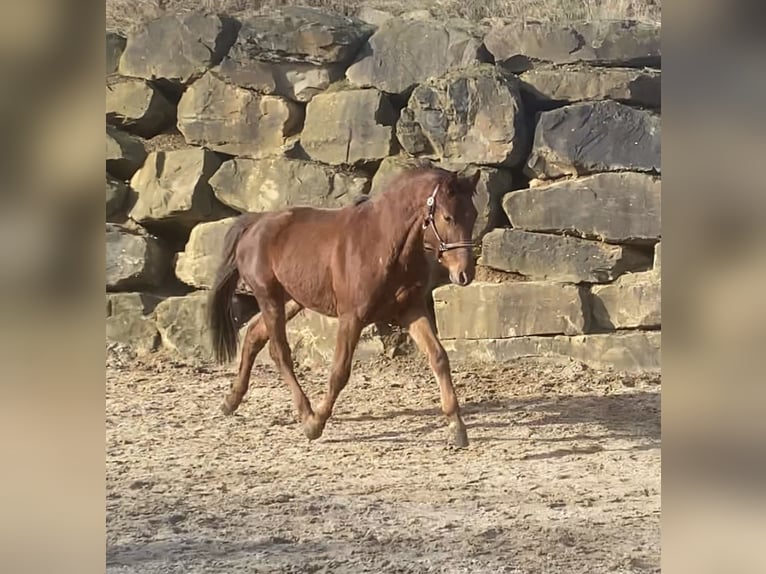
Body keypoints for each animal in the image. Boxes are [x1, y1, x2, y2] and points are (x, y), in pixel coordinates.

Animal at [207, 168, 476, 450]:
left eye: (473, 215)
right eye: (448, 217)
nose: (464, 274)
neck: (383, 244)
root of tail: (256, 222)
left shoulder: (411, 310)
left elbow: (439, 357)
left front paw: (457, 428)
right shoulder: (352, 318)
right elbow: (339, 373)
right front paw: (316, 424)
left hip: (292, 300)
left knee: (253, 334)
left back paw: (231, 401)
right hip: (269, 299)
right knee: (279, 352)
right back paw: (305, 413)